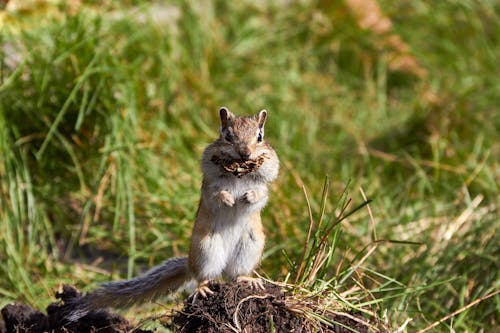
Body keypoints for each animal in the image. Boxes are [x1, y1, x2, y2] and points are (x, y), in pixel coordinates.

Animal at [68, 107, 280, 320]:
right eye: (227, 135)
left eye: (260, 137)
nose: (245, 153)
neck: (239, 173)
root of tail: (190, 264)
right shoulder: (209, 186)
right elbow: (214, 196)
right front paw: (227, 199)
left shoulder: (264, 186)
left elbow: (261, 196)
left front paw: (249, 196)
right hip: (206, 249)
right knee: (203, 277)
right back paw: (202, 288)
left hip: (249, 247)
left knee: (235, 274)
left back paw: (248, 280)